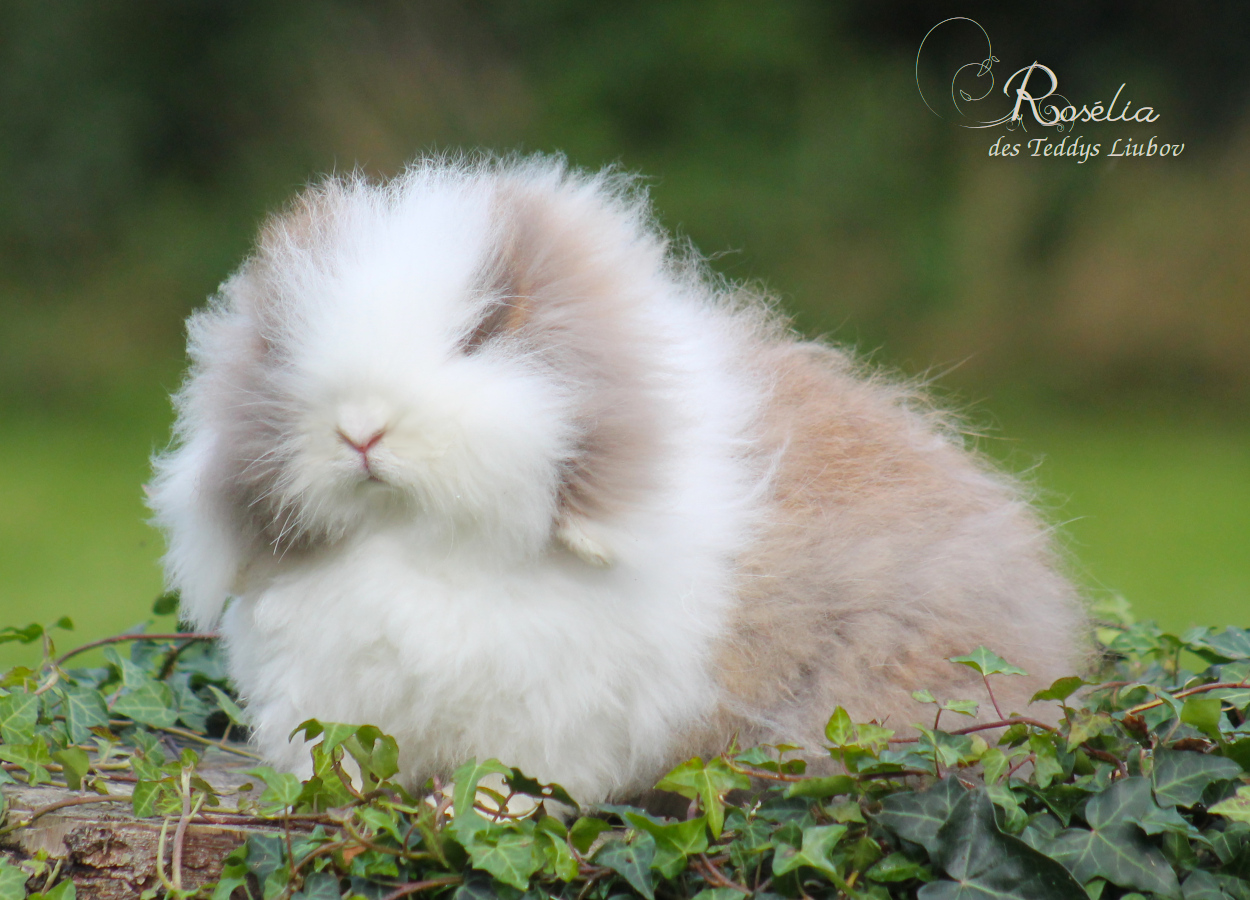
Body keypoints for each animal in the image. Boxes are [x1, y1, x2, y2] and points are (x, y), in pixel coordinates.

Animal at [148, 153, 1088, 805]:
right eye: (283, 345)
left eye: (479, 335)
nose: (360, 428)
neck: (411, 539)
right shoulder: (331, 706)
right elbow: (339, 768)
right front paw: (330, 803)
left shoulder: (553, 722)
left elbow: (515, 787)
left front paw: (472, 816)